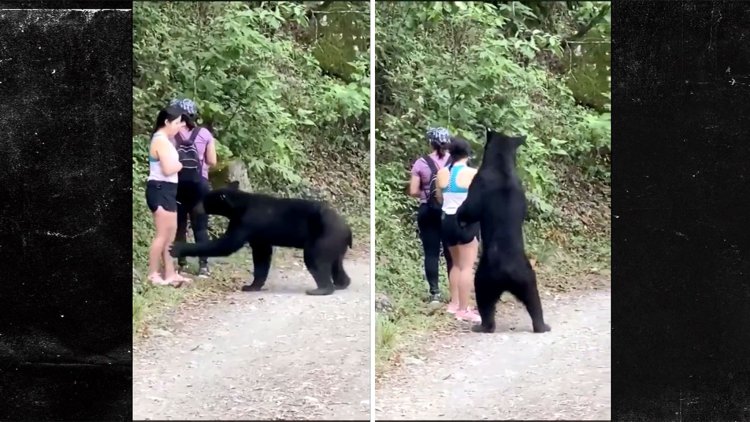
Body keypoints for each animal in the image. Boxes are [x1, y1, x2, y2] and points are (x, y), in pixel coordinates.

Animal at [169, 181, 353, 296]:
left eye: (205, 200)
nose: (195, 208)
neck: (239, 206)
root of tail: (347, 229)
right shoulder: (258, 234)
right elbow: (262, 255)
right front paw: (252, 286)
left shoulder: (246, 222)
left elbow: (227, 245)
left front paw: (177, 247)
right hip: (335, 243)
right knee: (336, 263)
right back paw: (342, 283)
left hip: (323, 238)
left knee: (315, 260)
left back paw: (321, 289)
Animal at [455, 128, 551, 333]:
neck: (501, 166)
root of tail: (508, 274)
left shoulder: (479, 183)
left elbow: (470, 208)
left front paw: (461, 218)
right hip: (528, 279)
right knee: (534, 300)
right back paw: (542, 325)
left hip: (485, 277)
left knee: (484, 300)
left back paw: (483, 326)